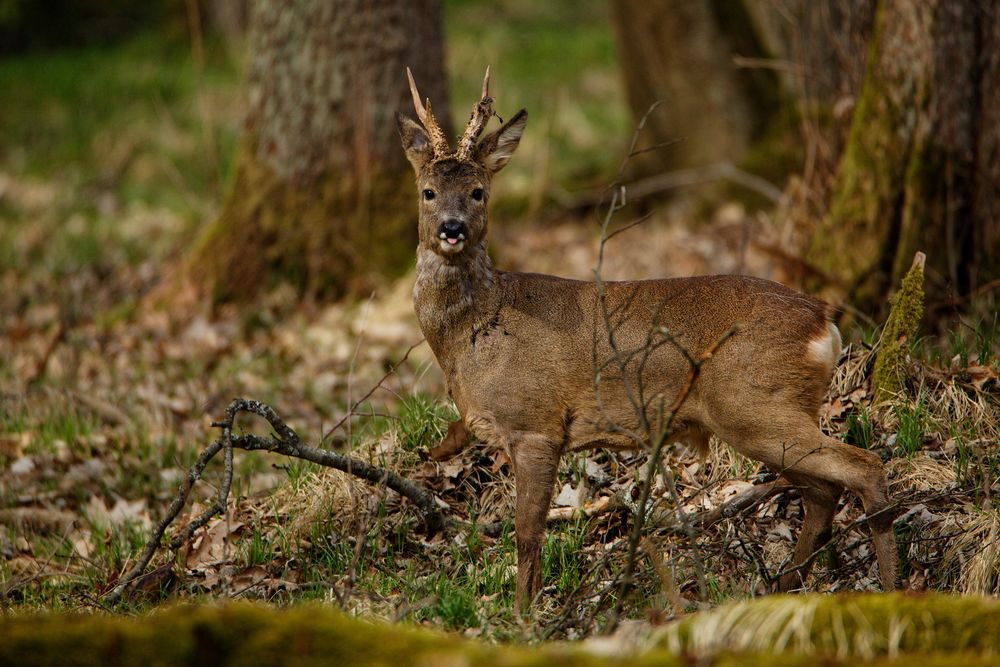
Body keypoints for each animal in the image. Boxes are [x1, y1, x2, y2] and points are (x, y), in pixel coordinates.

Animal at [396, 68, 900, 612]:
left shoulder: (536, 425)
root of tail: (823, 321)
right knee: (823, 493)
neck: (474, 331)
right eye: (428, 191)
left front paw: (524, 617)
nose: (452, 229)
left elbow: (527, 534)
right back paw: (783, 586)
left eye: (477, 191)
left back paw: (890, 587)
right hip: (768, 413)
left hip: (754, 404)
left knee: (864, 467)